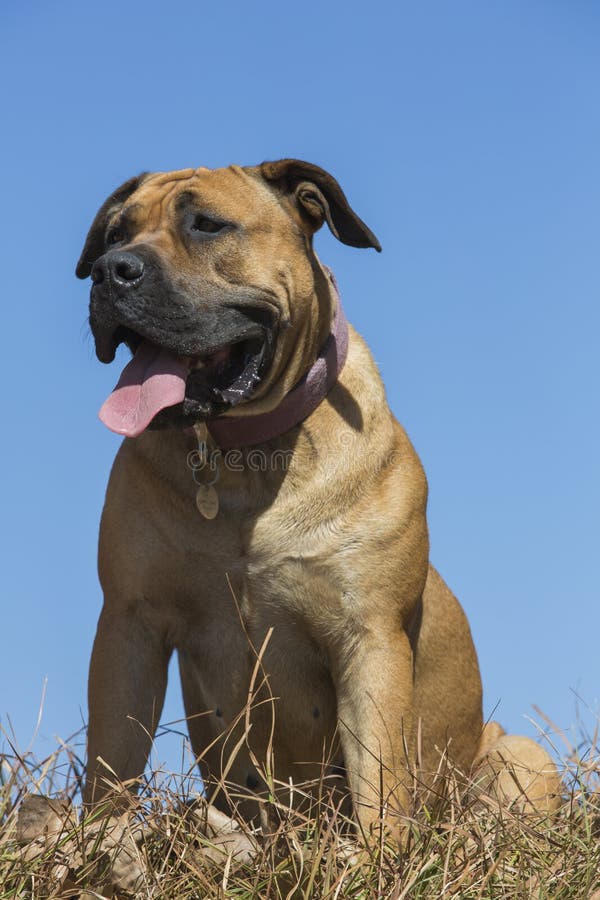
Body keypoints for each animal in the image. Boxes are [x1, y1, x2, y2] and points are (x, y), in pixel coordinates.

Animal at [77, 160, 560, 836]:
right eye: (115, 233)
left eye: (207, 225)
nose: (109, 270)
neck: (242, 459)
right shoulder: (130, 621)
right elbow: (112, 759)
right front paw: (100, 840)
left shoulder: (369, 636)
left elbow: (379, 780)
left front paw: (377, 854)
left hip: (522, 756)